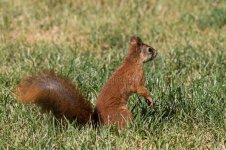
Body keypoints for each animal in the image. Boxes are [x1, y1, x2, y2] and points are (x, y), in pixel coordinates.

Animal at [15, 36, 157, 129]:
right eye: (149, 49)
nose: (156, 52)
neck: (132, 61)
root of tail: (98, 123)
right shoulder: (136, 76)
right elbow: (140, 89)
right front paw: (150, 98)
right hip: (122, 114)